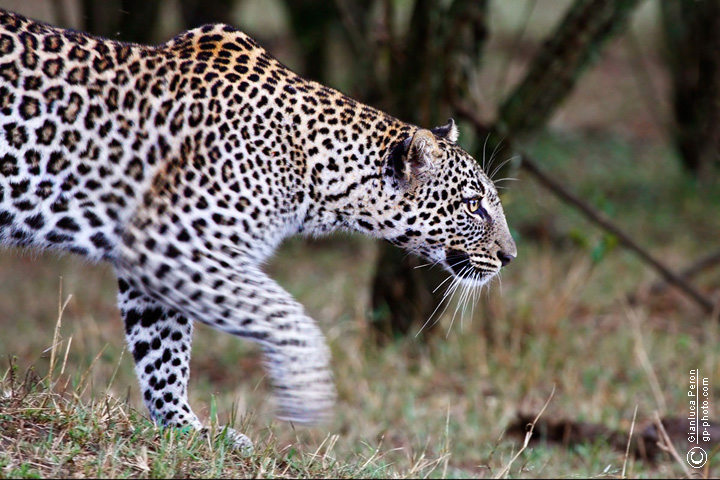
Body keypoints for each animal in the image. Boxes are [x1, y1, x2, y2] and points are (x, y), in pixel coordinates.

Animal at [0, 9, 516, 451]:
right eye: (473, 206)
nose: (510, 257)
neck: (321, 172)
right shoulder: (175, 245)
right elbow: (285, 315)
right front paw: (307, 394)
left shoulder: (153, 263)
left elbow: (162, 352)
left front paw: (186, 431)